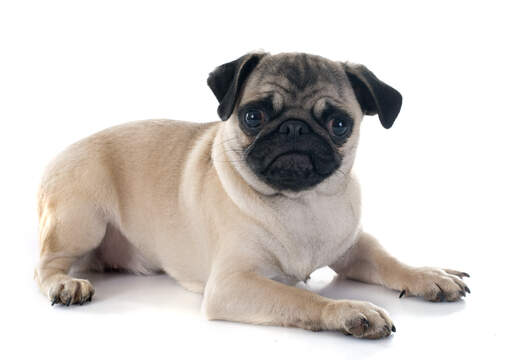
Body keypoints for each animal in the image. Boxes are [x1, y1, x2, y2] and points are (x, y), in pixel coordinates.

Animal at [34, 52, 470, 338]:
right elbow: (301, 298)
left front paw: (430, 276)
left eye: (339, 124)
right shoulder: (233, 284)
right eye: (253, 116)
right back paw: (65, 285)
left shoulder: (354, 248)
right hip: (82, 219)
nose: (294, 128)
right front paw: (349, 308)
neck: (301, 203)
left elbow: (390, 261)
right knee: (45, 265)